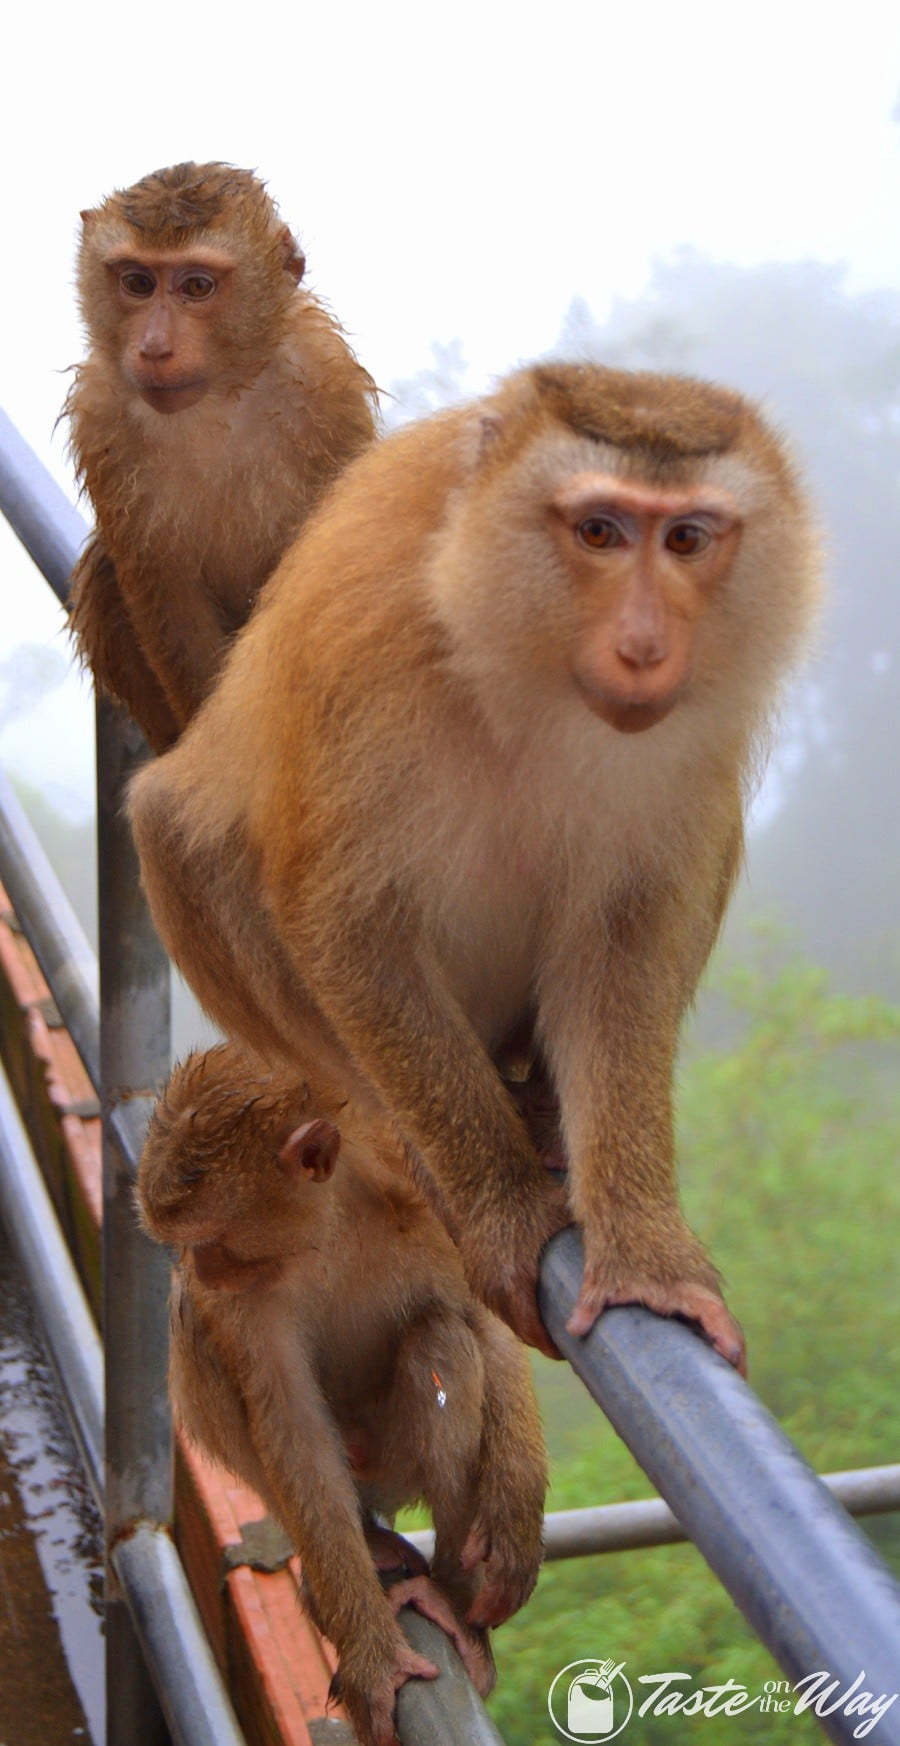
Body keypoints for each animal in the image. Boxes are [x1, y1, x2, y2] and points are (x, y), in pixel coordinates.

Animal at [65, 164, 379, 757]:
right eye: (137, 282)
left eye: (196, 287)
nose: (154, 347)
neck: (218, 397)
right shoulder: (99, 415)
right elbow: (164, 591)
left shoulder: (330, 385)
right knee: (104, 579)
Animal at [130, 364, 828, 1361]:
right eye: (599, 531)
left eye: (687, 538)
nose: (646, 644)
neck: (522, 662)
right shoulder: (366, 653)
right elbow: (343, 922)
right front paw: (499, 1206)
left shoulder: (690, 735)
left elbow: (626, 937)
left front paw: (642, 1246)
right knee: (177, 835)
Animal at [138, 1040, 548, 1739]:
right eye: (188, 1244)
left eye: (211, 1240)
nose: (197, 1268)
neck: (328, 1225)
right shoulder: (246, 1305)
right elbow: (292, 1426)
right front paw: (372, 1657)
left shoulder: (424, 1200)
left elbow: (483, 1316)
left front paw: (515, 1517)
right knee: (197, 1342)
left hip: (393, 1460)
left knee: (438, 1340)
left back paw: (453, 1602)